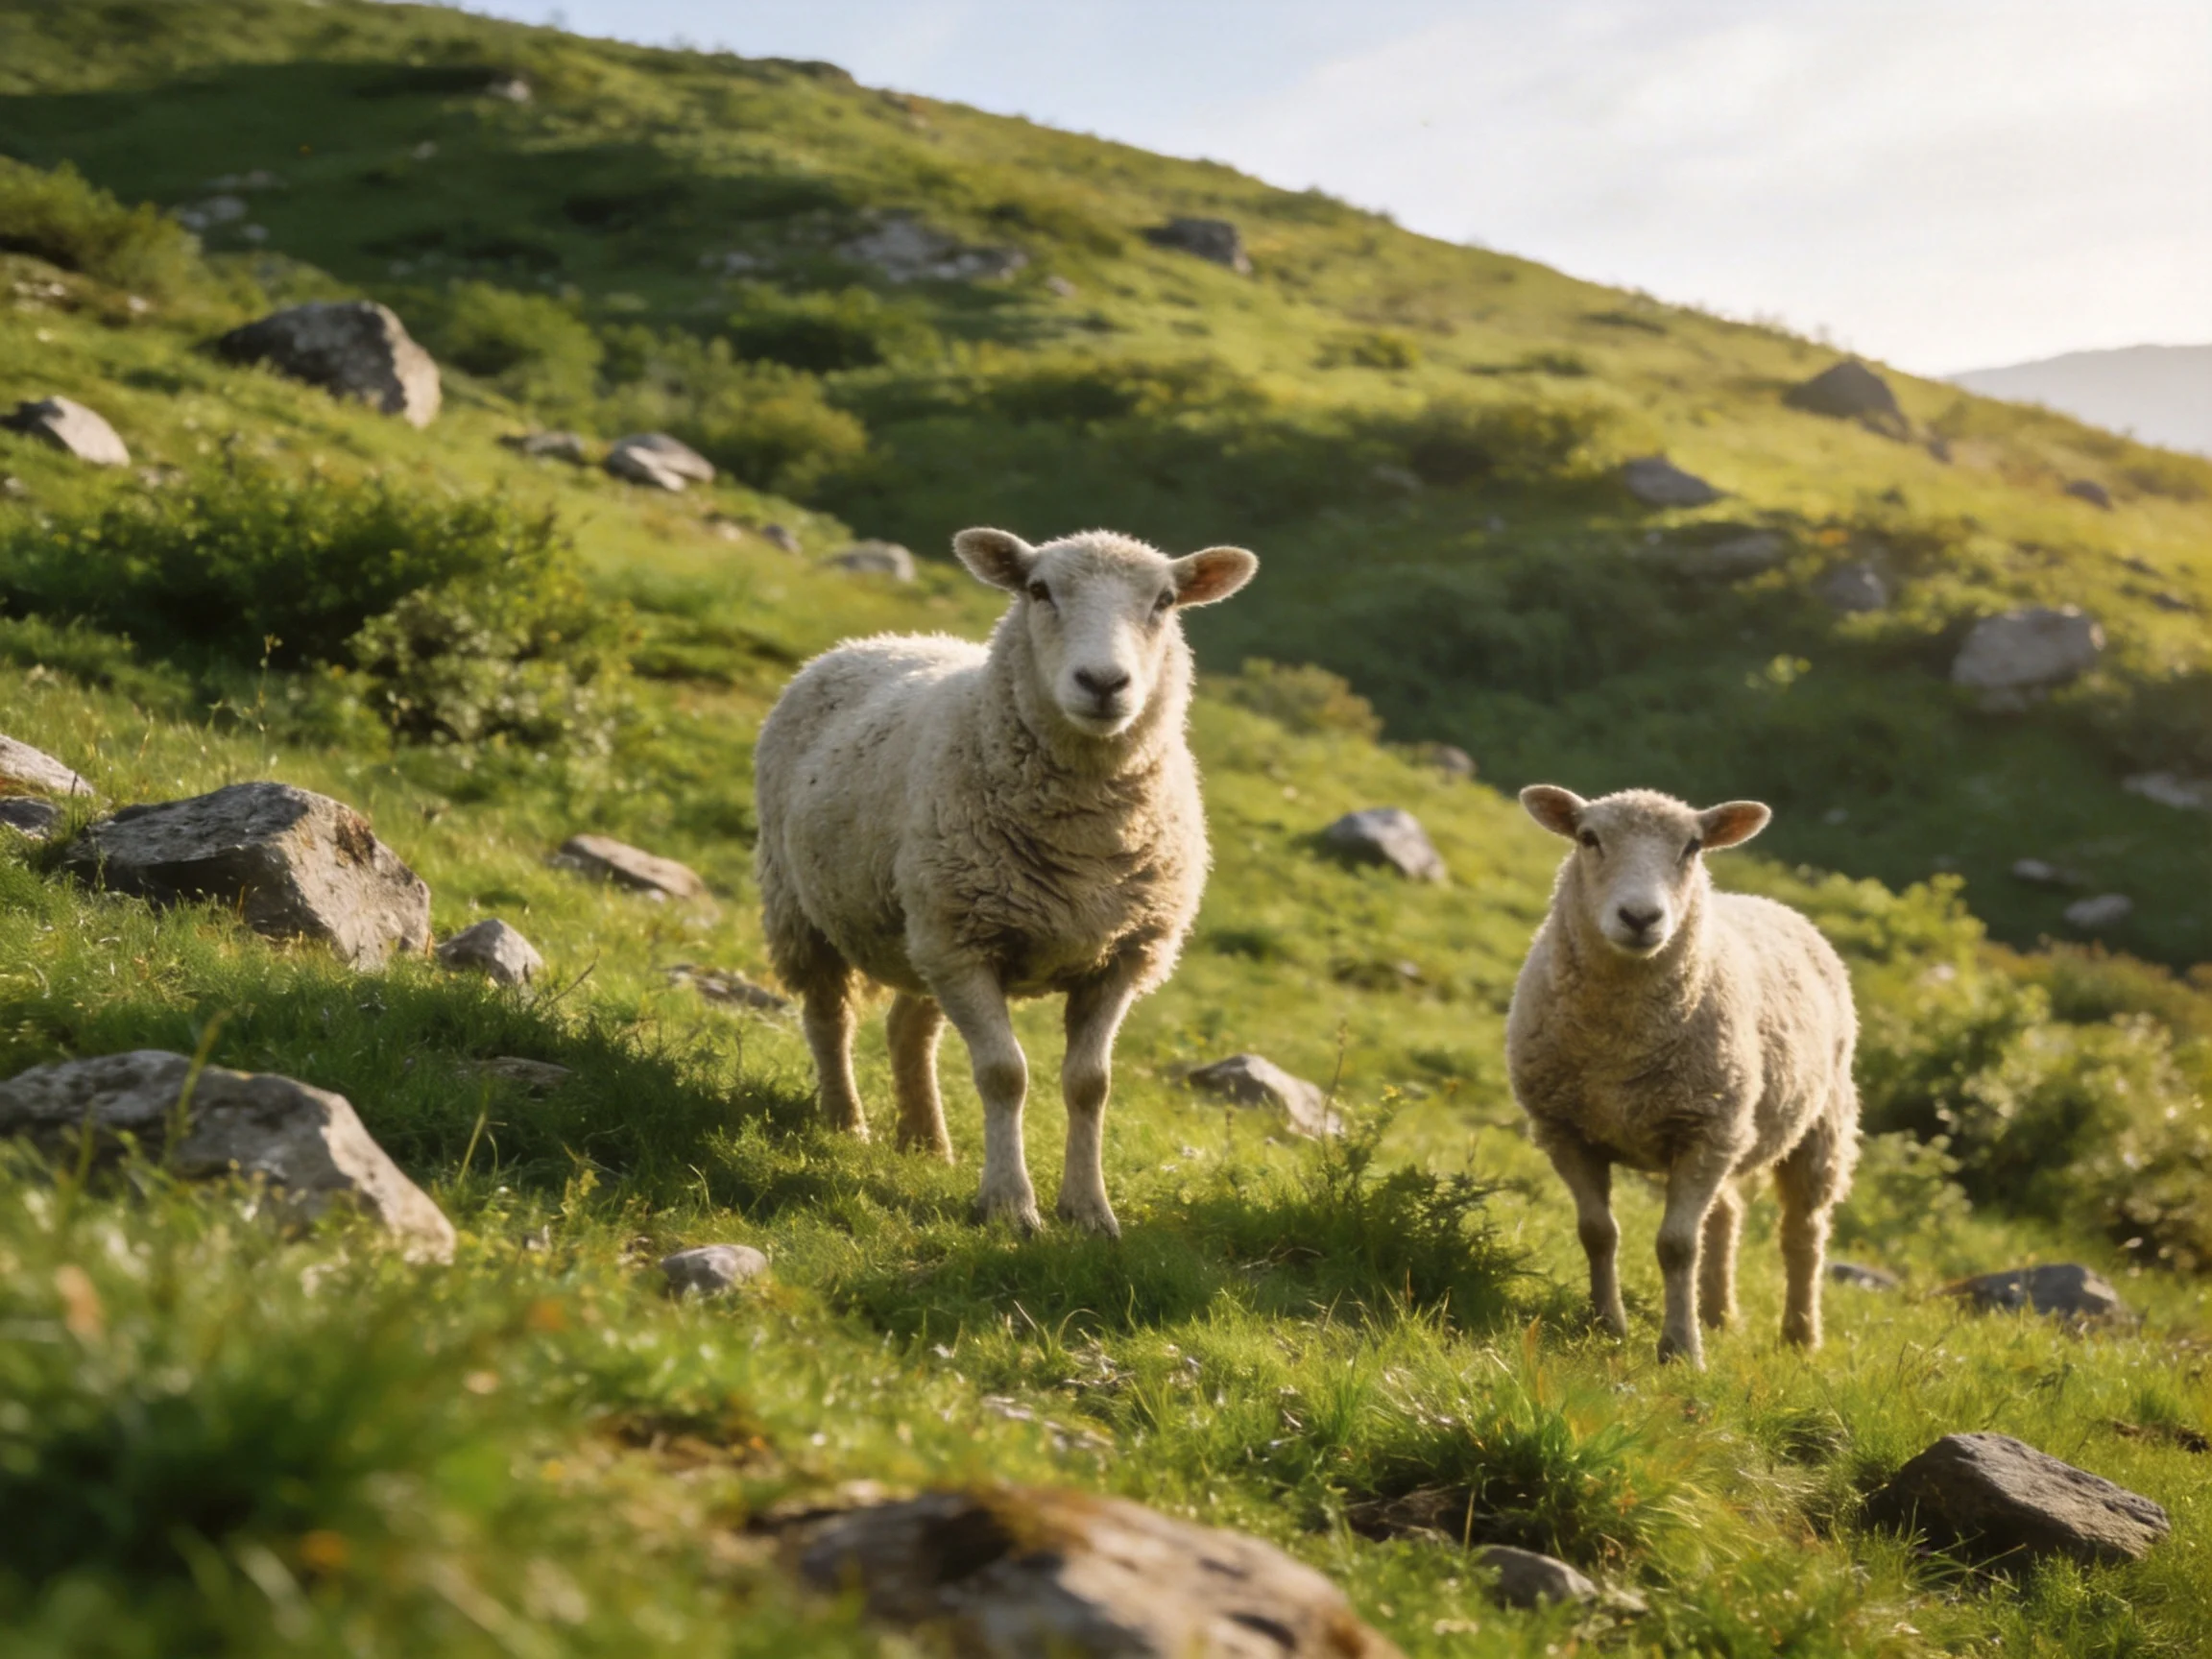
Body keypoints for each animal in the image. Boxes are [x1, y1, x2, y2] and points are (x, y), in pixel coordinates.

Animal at [753, 526, 1258, 1236]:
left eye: (1164, 601)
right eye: (1039, 590)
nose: (1103, 682)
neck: (1085, 839)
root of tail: (875, 640)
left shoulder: (1122, 955)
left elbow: (1090, 1083)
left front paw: (1089, 1210)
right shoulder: (965, 946)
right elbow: (1003, 1075)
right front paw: (1009, 1205)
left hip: (927, 926)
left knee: (908, 1027)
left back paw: (926, 1143)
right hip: (808, 907)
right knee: (829, 1017)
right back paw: (846, 1124)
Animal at [1505, 786, 1859, 1367]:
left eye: (1692, 846)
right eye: (1588, 837)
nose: (1640, 916)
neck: (1619, 1047)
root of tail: (1772, 903)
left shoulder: (1706, 1132)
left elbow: (1676, 1246)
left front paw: (1680, 1350)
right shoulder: (1566, 1130)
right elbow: (1597, 1232)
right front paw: (1607, 1325)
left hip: (1818, 1125)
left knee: (1802, 1233)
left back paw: (1800, 1335)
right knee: (1726, 1216)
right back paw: (1717, 1314)